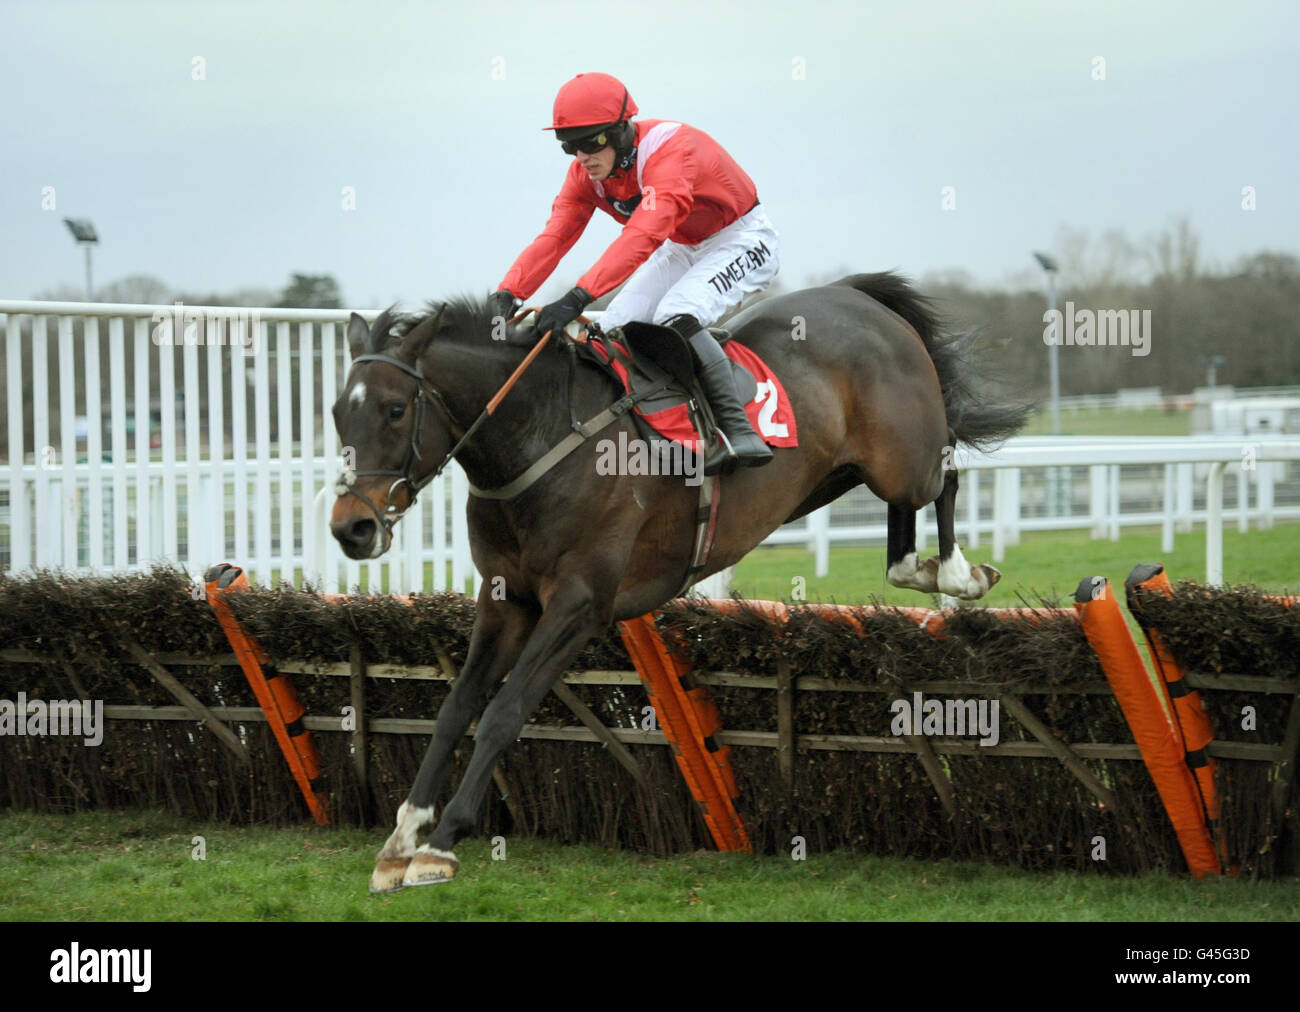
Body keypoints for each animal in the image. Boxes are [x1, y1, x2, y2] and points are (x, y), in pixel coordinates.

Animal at [330, 270, 1029, 889]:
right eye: (338, 413)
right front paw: (402, 838)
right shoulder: (507, 601)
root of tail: (860, 298)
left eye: (395, 410)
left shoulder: (580, 604)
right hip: (834, 474)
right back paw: (920, 566)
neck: (541, 436)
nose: (351, 529)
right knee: (902, 519)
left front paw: (443, 842)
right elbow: (455, 707)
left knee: (944, 474)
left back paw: (959, 573)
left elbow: (504, 711)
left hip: (902, 456)